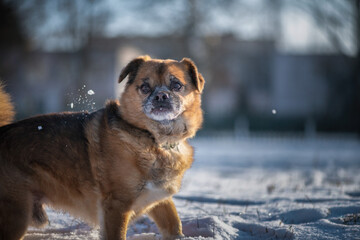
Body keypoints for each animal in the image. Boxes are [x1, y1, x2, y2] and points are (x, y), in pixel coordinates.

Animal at [0, 55, 204, 239]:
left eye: (176, 85)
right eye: (145, 87)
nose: (161, 95)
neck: (156, 139)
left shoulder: (159, 198)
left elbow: (173, 223)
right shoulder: (117, 205)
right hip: (17, 214)